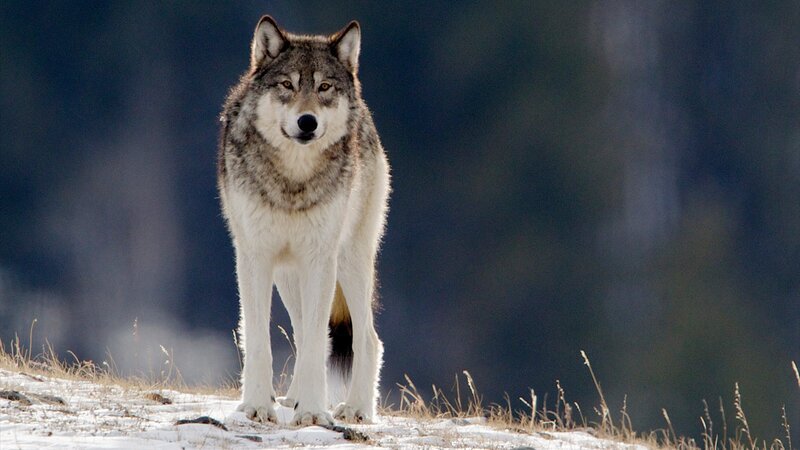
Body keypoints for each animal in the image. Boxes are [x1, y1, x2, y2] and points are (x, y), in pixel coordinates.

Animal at [217, 16, 390, 426]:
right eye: (288, 85)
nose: (307, 122)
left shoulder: (319, 260)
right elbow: (259, 340)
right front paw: (257, 406)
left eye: (324, 87)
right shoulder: (254, 258)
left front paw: (312, 413)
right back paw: (293, 397)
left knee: (366, 338)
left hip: (349, 262)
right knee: (304, 332)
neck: (292, 181)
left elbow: (314, 342)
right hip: (288, 274)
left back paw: (357, 408)